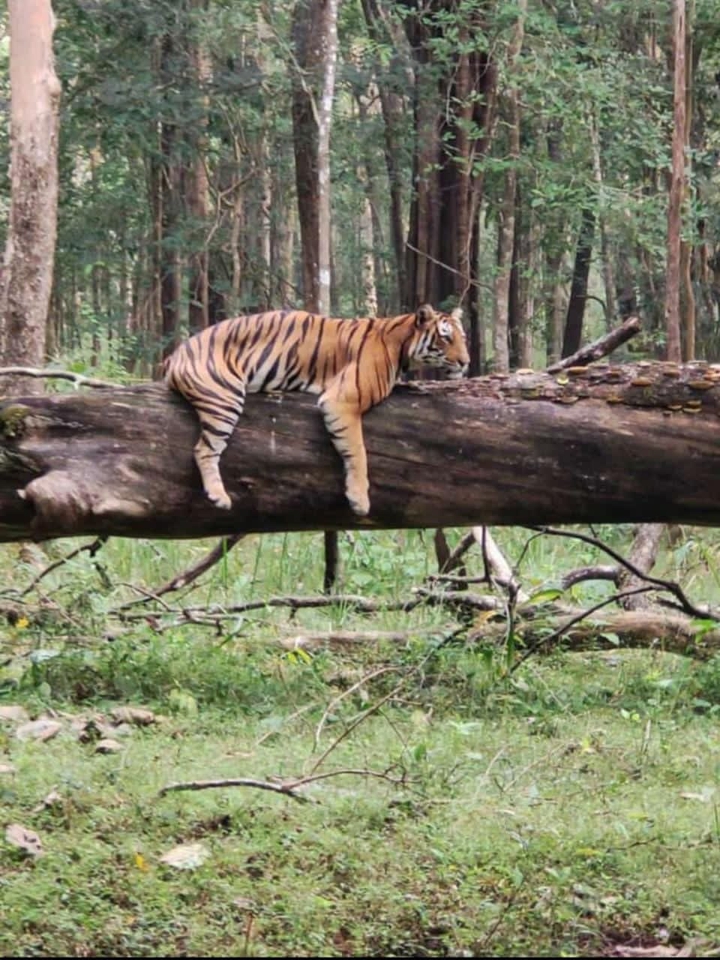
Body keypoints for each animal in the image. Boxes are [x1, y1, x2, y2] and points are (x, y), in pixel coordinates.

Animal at [164, 304, 469, 517]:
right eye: (445, 338)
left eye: (463, 338)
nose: (466, 362)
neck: (403, 344)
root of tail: (176, 353)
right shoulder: (342, 400)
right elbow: (358, 451)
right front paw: (359, 500)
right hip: (224, 399)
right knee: (203, 449)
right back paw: (219, 496)